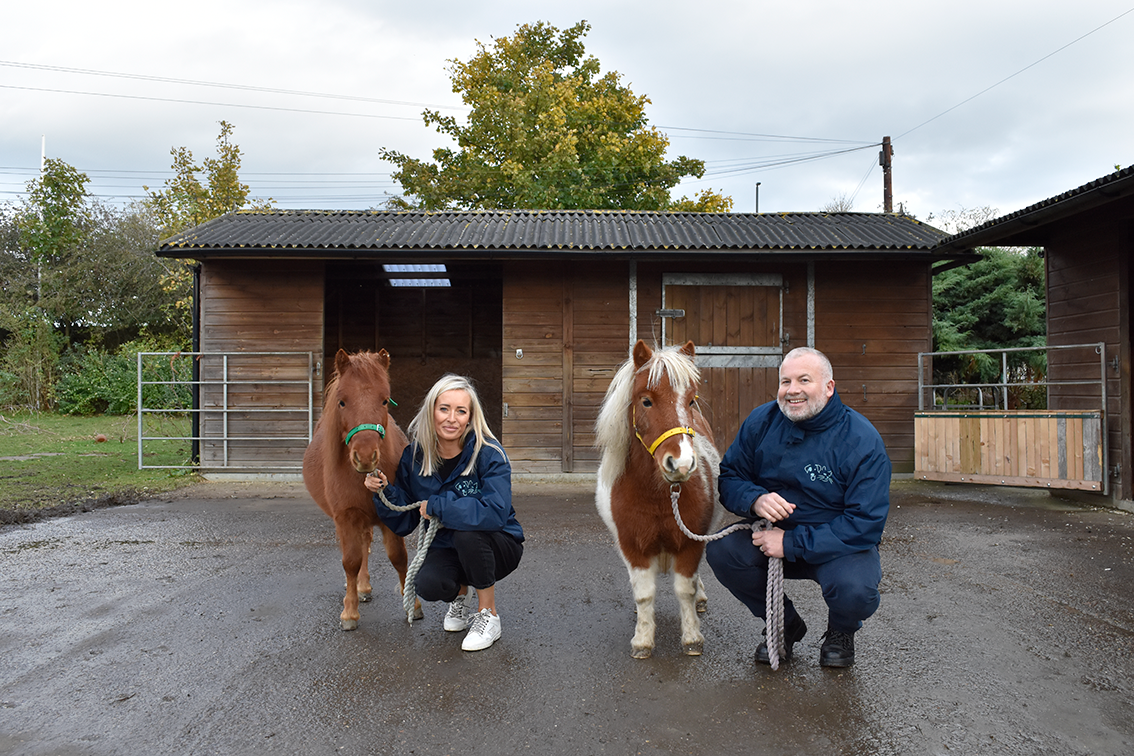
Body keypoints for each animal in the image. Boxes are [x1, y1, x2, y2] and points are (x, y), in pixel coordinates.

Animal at [301, 351, 421, 634]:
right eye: (342, 402)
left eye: (385, 400)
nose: (365, 457)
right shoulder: (346, 516)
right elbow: (351, 561)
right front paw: (349, 612)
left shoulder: (391, 517)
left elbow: (399, 557)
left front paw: (412, 603)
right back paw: (357, 587)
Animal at [594, 340, 716, 657]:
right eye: (646, 401)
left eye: (691, 401)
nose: (681, 464)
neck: (659, 495)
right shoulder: (633, 546)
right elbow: (644, 593)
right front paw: (642, 640)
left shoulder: (690, 542)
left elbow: (685, 589)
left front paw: (692, 638)